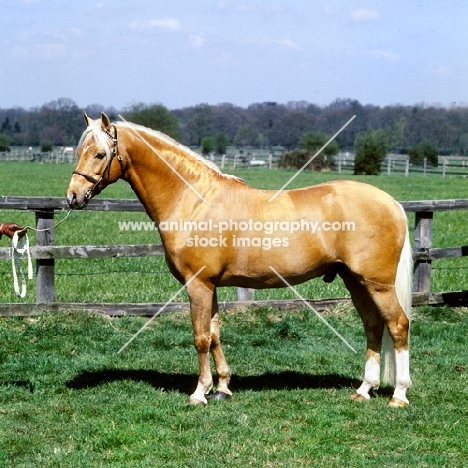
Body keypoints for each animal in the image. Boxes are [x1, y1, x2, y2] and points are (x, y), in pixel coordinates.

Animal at [66, 112, 414, 406]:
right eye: (79, 150)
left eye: (99, 154)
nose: (72, 196)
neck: (194, 200)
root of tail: (391, 202)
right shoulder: (210, 286)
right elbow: (215, 334)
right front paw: (221, 388)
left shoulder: (197, 285)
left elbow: (201, 337)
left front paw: (199, 393)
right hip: (356, 282)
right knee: (373, 326)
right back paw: (364, 390)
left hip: (378, 284)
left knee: (398, 325)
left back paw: (399, 395)